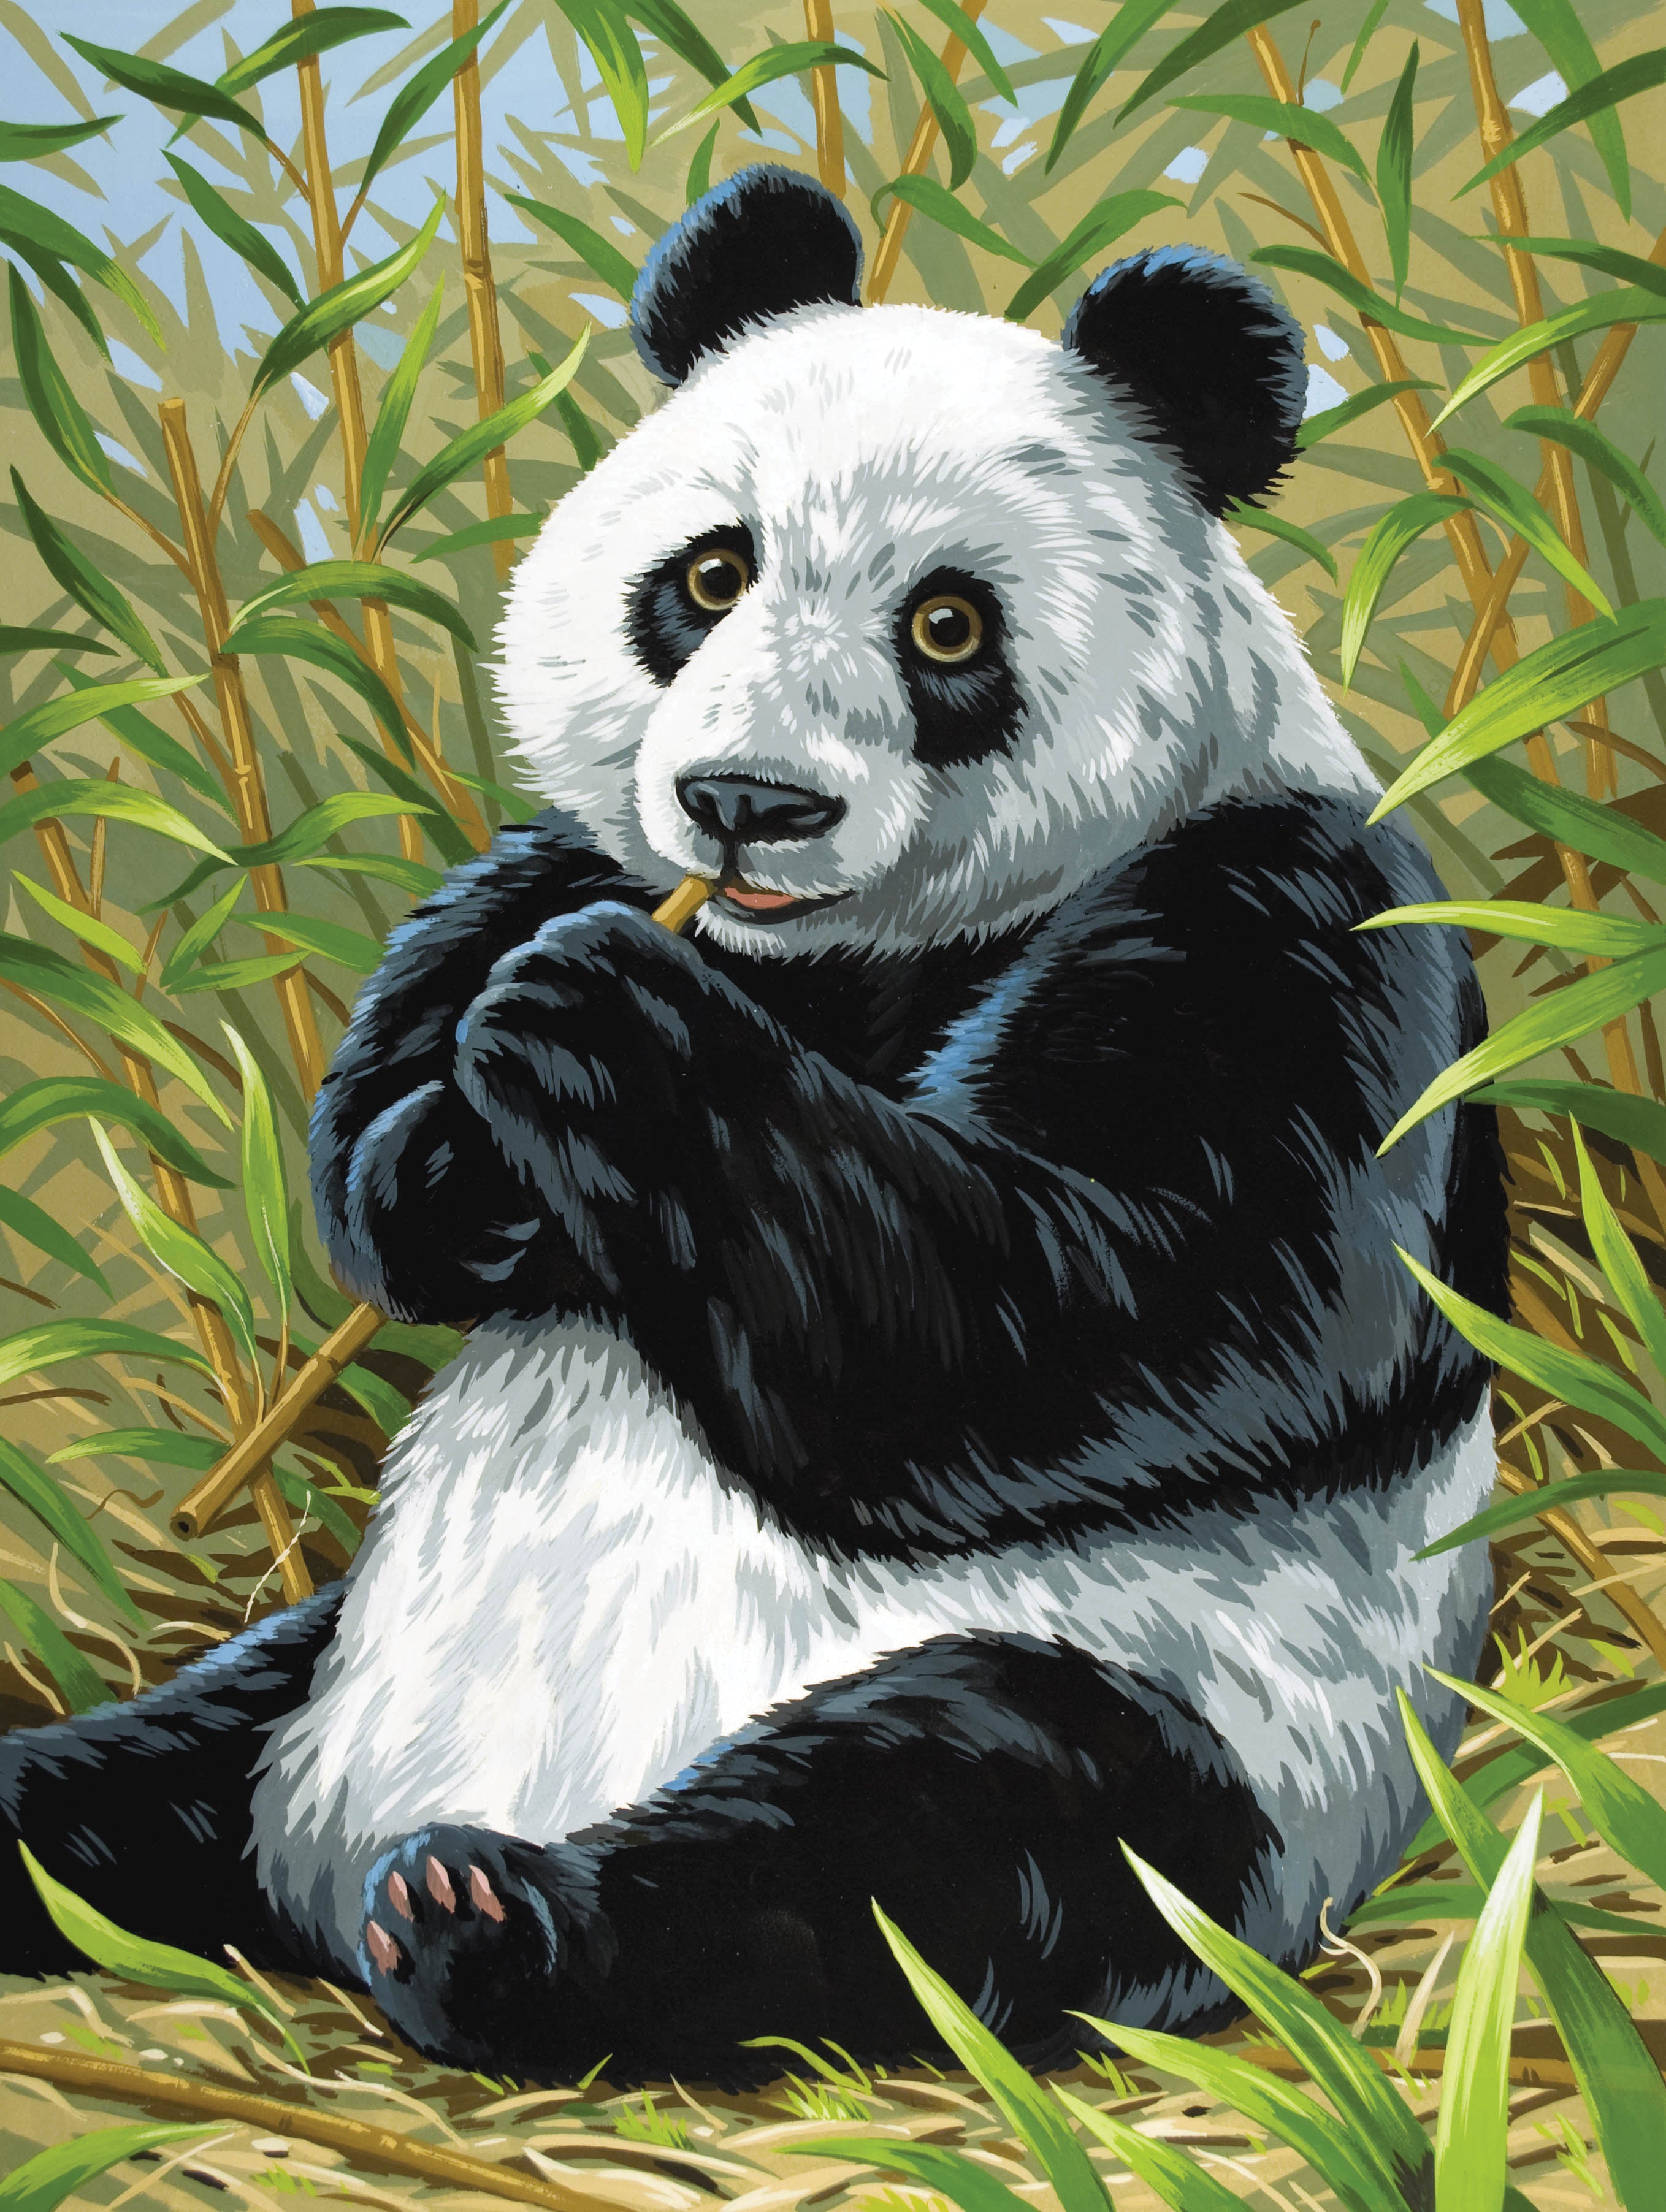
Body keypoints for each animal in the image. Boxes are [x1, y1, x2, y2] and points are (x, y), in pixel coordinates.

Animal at [0, 167, 1505, 2085]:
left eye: (947, 628)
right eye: (710, 576)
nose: (744, 803)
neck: (831, 965)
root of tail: (323, 1862)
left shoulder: (1290, 936)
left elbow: (1087, 1323)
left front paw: (598, 1038)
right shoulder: (564, 862)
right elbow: (380, 1156)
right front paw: (462, 1150)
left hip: (1203, 1724)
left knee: (933, 1829)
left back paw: (498, 1925)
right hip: (332, 1649)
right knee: (175, 1753)